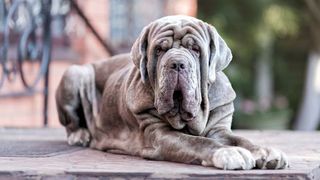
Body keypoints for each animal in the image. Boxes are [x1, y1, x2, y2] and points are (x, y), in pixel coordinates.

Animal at [56, 15, 288, 170]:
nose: (177, 63)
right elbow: (197, 142)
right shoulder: (159, 135)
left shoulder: (219, 129)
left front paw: (265, 151)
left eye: (195, 49)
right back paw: (80, 135)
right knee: (71, 123)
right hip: (75, 73)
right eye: (159, 50)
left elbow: (241, 139)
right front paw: (228, 152)